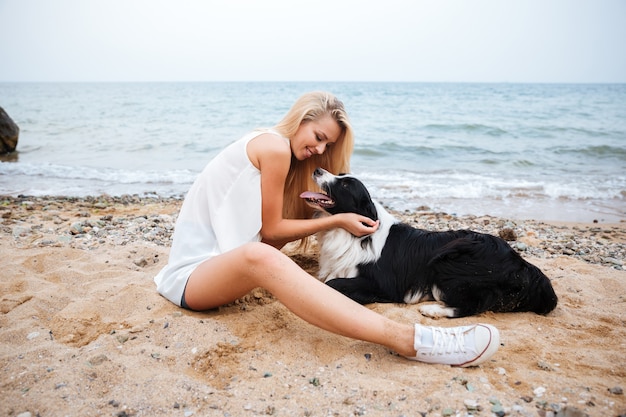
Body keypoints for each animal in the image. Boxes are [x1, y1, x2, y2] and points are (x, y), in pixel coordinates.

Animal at [300, 167, 560, 316]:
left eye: (344, 184)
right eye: (340, 174)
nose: (317, 168)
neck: (356, 233)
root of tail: (524, 266)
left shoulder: (383, 284)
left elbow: (333, 284)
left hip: (449, 257)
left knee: (472, 306)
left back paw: (432, 309)